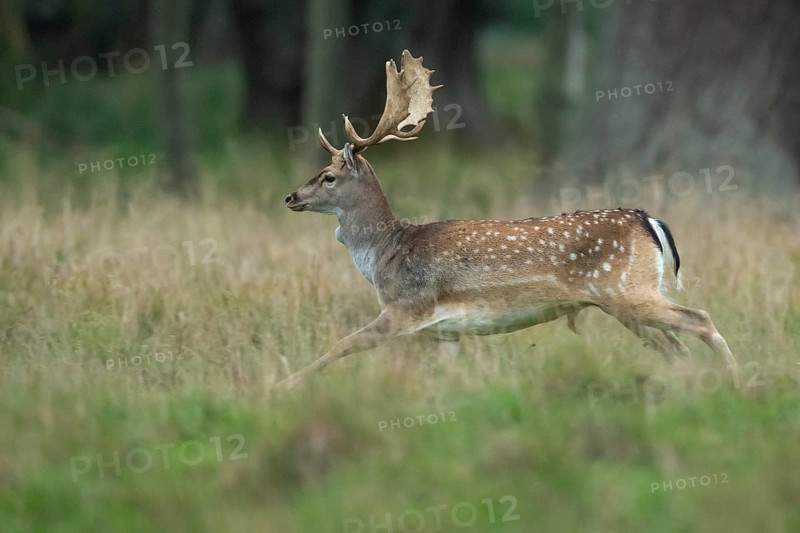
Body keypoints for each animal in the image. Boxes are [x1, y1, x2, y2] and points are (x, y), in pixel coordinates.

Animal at [279, 50, 736, 389]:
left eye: (328, 176)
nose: (290, 196)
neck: (384, 256)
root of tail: (648, 221)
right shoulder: (446, 332)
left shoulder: (406, 307)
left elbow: (340, 346)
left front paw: (284, 385)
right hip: (627, 302)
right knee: (676, 348)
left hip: (626, 290)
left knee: (700, 320)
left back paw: (736, 380)